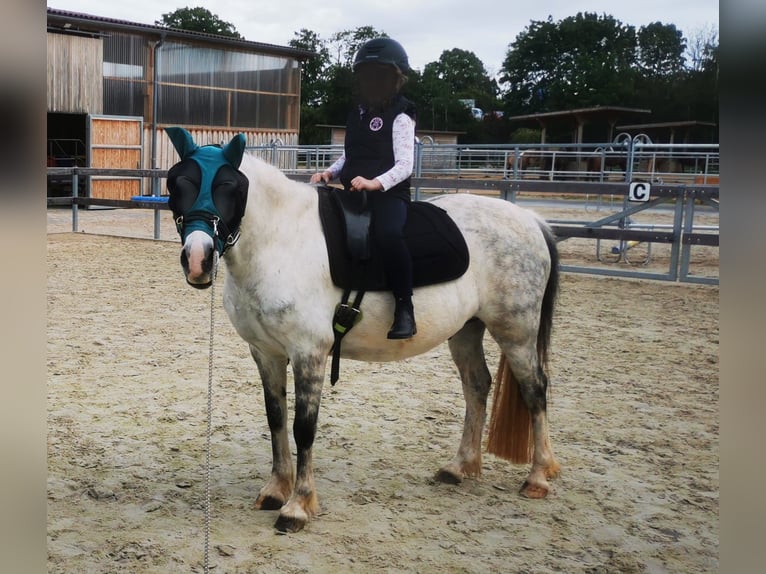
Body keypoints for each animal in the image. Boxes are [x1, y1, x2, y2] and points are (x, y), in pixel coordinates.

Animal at [165, 128, 560, 532]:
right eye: (177, 183)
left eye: (229, 186)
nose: (198, 259)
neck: (281, 241)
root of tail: (530, 220)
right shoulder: (267, 353)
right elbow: (276, 419)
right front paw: (276, 490)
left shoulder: (309, 353)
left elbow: (303, 428)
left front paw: (298, 505)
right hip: (467, 330)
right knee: (477, 385)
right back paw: (460, 467)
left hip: (516, 332)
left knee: (535, 390)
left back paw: (538, 476)